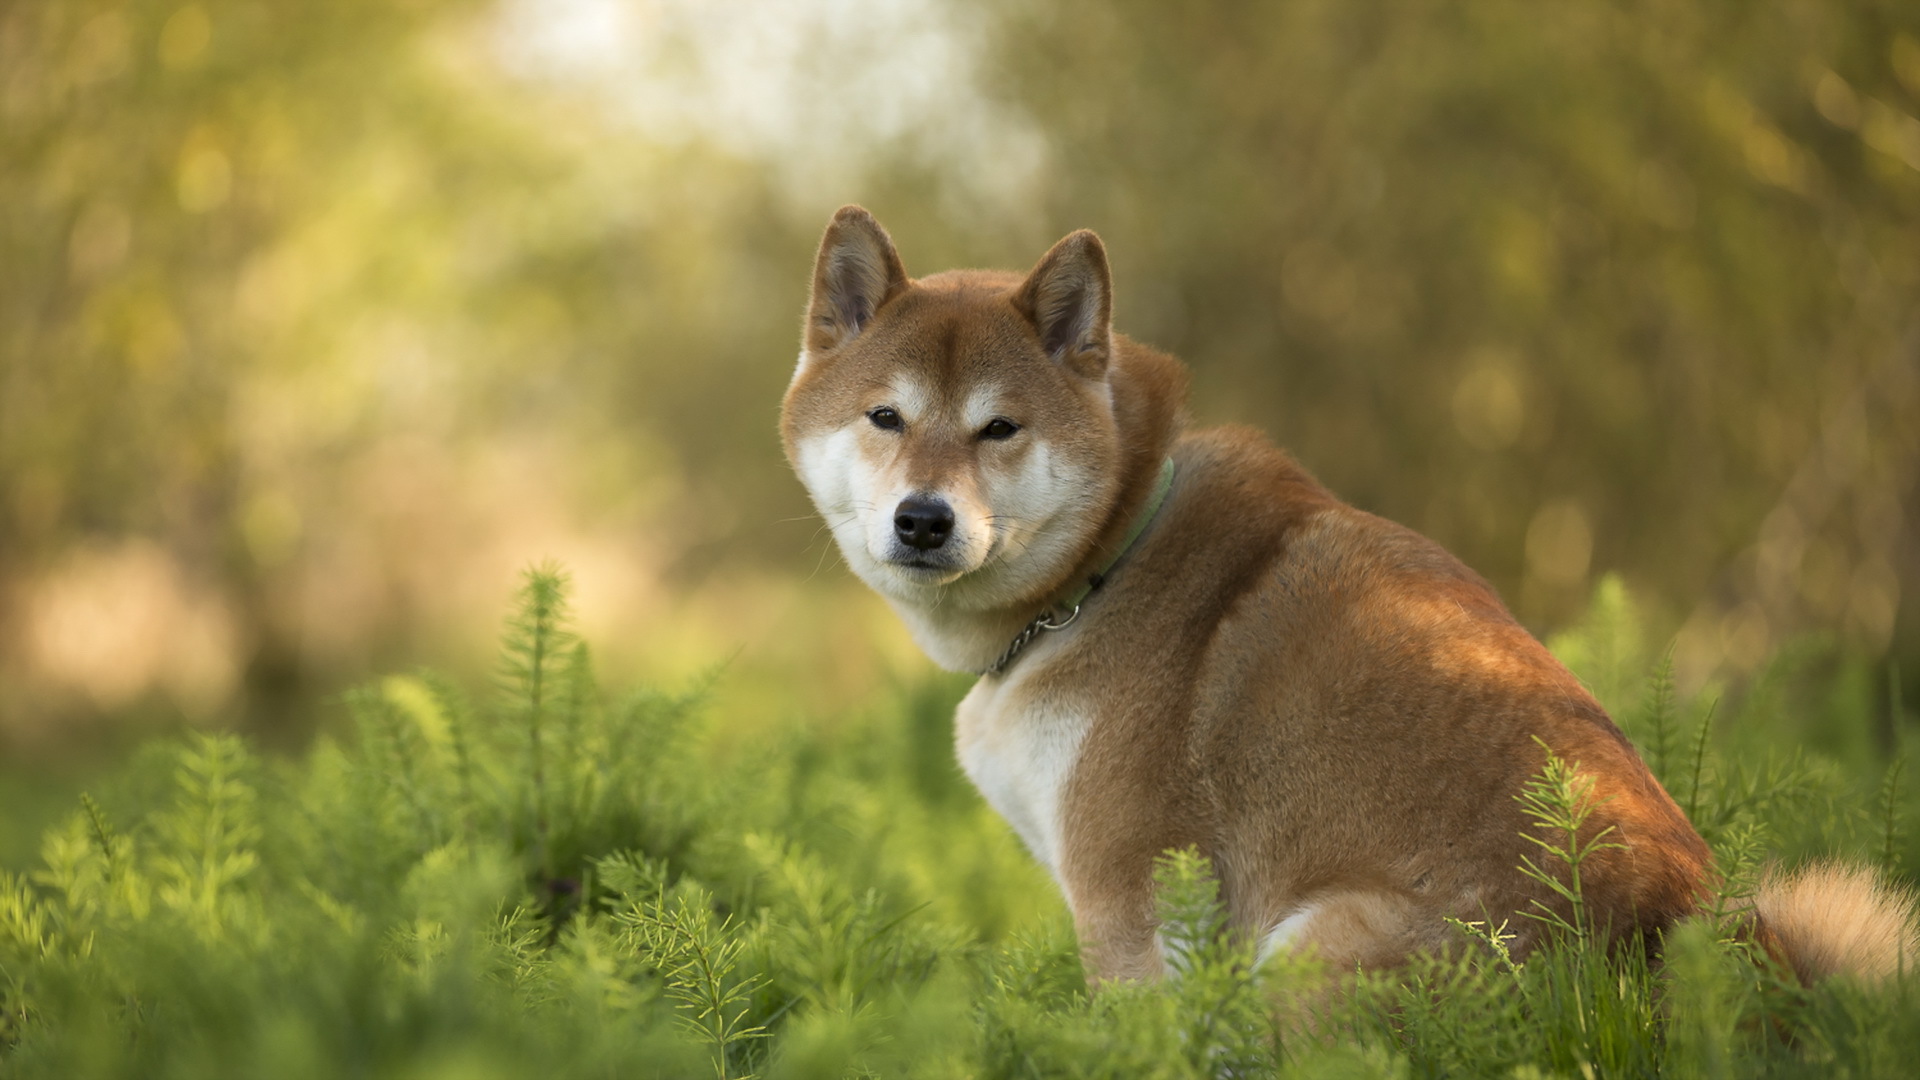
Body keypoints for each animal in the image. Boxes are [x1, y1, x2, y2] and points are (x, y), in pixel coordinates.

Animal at [783, 203, 1920, 983]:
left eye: (999, 429)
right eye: (885, 417)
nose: (923, 519)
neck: (1105, 564)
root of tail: (1695, 953)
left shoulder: (1132, 901)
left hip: (1312, 947)